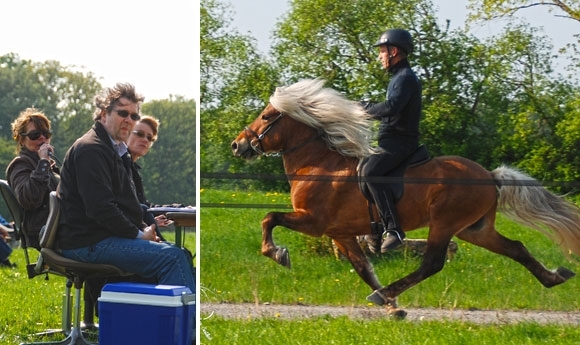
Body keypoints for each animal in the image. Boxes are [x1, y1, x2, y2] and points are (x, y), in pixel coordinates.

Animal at [231, 79, 580, 316]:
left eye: (266, 116)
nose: (238, 145)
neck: (318, 166)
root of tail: (490, 176)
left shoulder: (314, 222)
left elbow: (269, 218)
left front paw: (277, 253)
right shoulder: (341, 233)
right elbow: (364, 269)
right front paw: (393, 308)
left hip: (445, 223)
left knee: (433, 263)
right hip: (475, 229)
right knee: (516, 248)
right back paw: (556, 276)